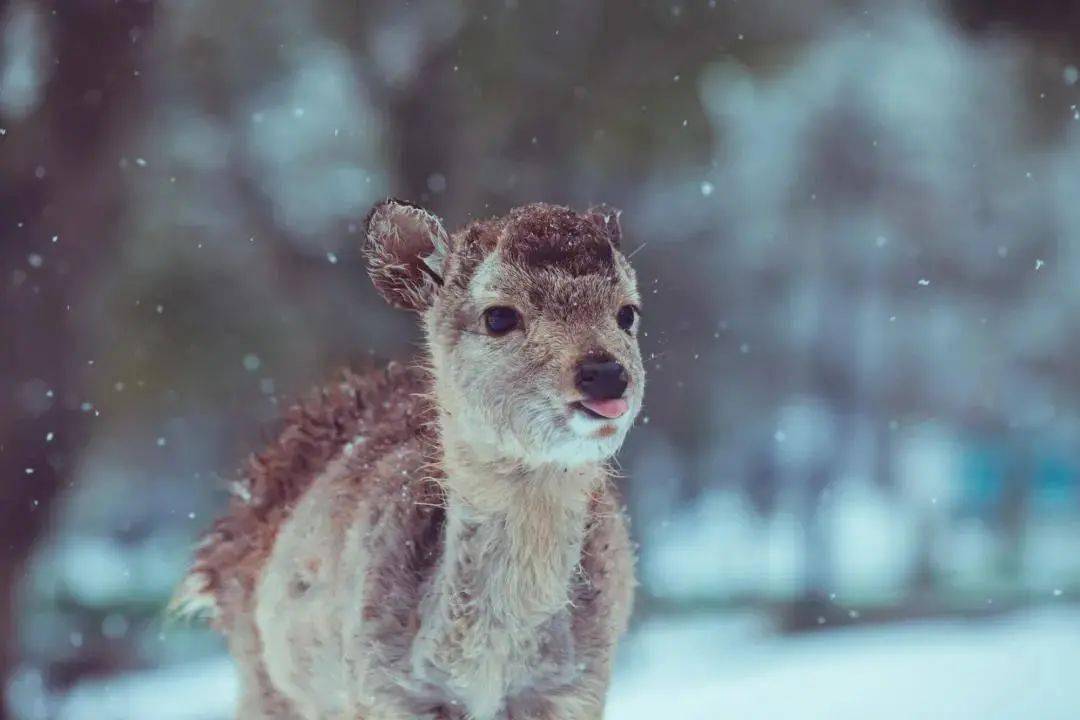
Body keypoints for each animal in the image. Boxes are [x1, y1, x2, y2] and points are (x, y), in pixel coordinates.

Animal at [173, 201, 643, 720]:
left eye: (628, 312)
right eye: (499, 316)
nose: (605, 373)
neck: (485, 676)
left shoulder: (579, 686)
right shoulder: (383, 688)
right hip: (264, 681)